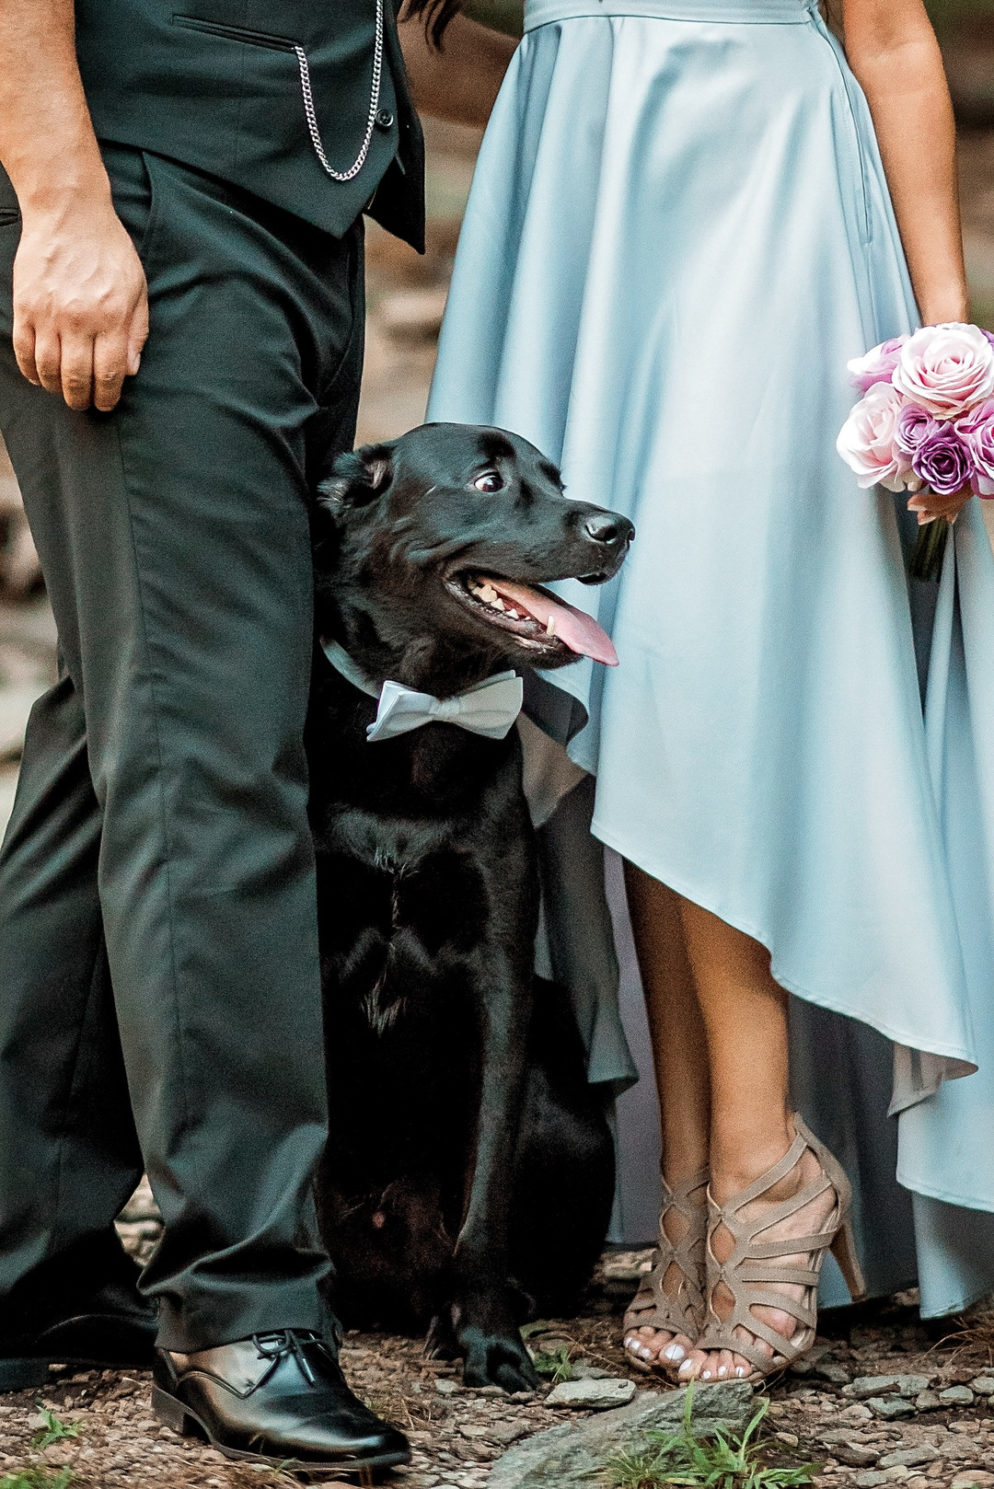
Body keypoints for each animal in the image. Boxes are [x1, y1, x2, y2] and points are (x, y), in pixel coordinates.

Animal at [310, 425, 633, 1387]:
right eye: (487, 482)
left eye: (557, 478)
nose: (618, 527)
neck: (419, 720)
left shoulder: (500, 980)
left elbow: (484, 1192)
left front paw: (489, 1334)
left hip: (570, 1117)